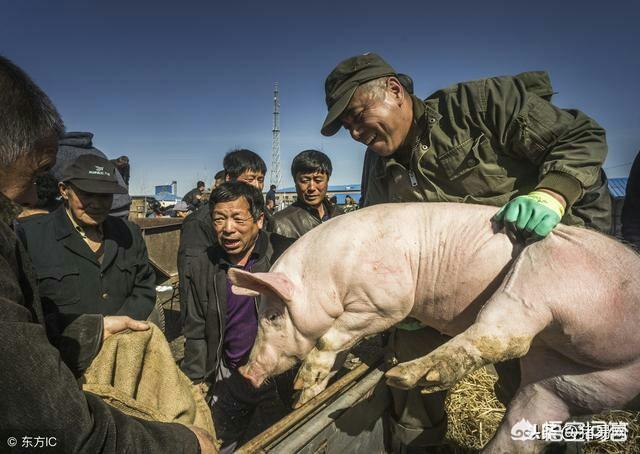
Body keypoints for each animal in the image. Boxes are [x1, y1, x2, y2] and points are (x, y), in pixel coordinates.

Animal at [226, 204, 640, 452]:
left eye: (273, 316)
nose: (245, 371)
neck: (328, 275)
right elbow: (334, 351)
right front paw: (304, 397)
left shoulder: (388, 300)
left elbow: (329, 339)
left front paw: (303, 384)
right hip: (573, 381)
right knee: (525, 425)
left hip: (541, 274)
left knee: (504, 336)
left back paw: (405, 376)